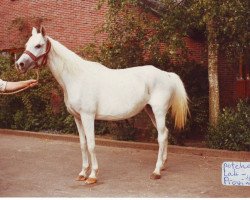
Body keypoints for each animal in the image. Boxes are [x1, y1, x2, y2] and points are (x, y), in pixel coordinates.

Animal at [15, 27, 188, 184]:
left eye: (38, 45)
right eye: (27, 44)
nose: (19, 64)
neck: (77, 77)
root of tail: (167, 75)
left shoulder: (88, 116)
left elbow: (91, 144)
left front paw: (92, 176)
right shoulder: (77, 118)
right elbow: (83, 144)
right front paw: (82, 173)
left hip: (159, 112)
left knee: (161, 136)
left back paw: (156, 171)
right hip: (150, 110)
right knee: (165, 133)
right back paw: (163, 165)